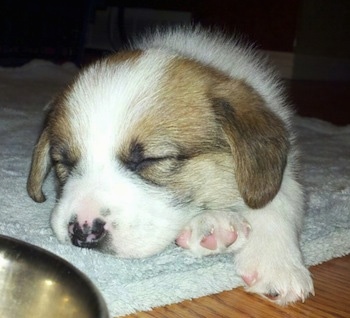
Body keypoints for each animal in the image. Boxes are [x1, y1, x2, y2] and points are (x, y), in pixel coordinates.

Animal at [27, 27, 314, 306]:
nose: (83, 232)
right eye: (63, 162)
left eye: (150, 160)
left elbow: (278, 199)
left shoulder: (287, 168)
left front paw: (276, 263)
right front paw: (215, 225)